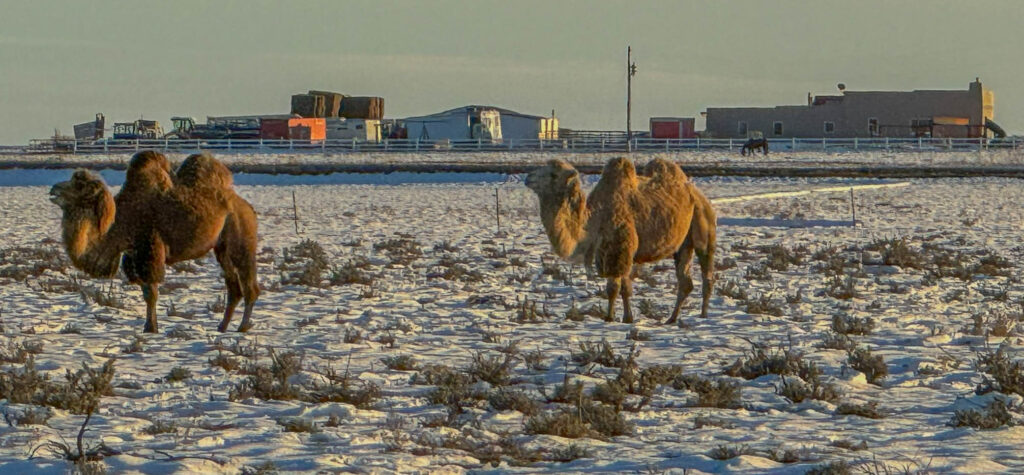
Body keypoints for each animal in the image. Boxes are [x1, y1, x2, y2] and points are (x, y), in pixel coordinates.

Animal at [51, 150, 260, 331]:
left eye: (79, 186)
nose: (53, 189)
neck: (122, 221)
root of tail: (247, 206)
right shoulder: (135, 256)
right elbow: (146, 292)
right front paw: (151, 327)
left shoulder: (149, 251)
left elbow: (151, 294)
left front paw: (150, 329)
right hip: (221, 248)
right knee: (234, 287)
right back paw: (222, 327)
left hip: (241, 239)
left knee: (249, 285)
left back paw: (242, 327)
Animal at [524, 157, 716, 325]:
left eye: (553, 175)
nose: (528, 178)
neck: (595, 219)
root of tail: (699, 195)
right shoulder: (614, 252)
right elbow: (621, 287)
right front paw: (624, 317)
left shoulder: (619, 250)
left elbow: (615, 288)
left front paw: (612, 318)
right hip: (683, 244)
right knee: (685, 282)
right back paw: (672, 319)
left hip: (703, 225)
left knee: (706, 272)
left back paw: (703, 315)